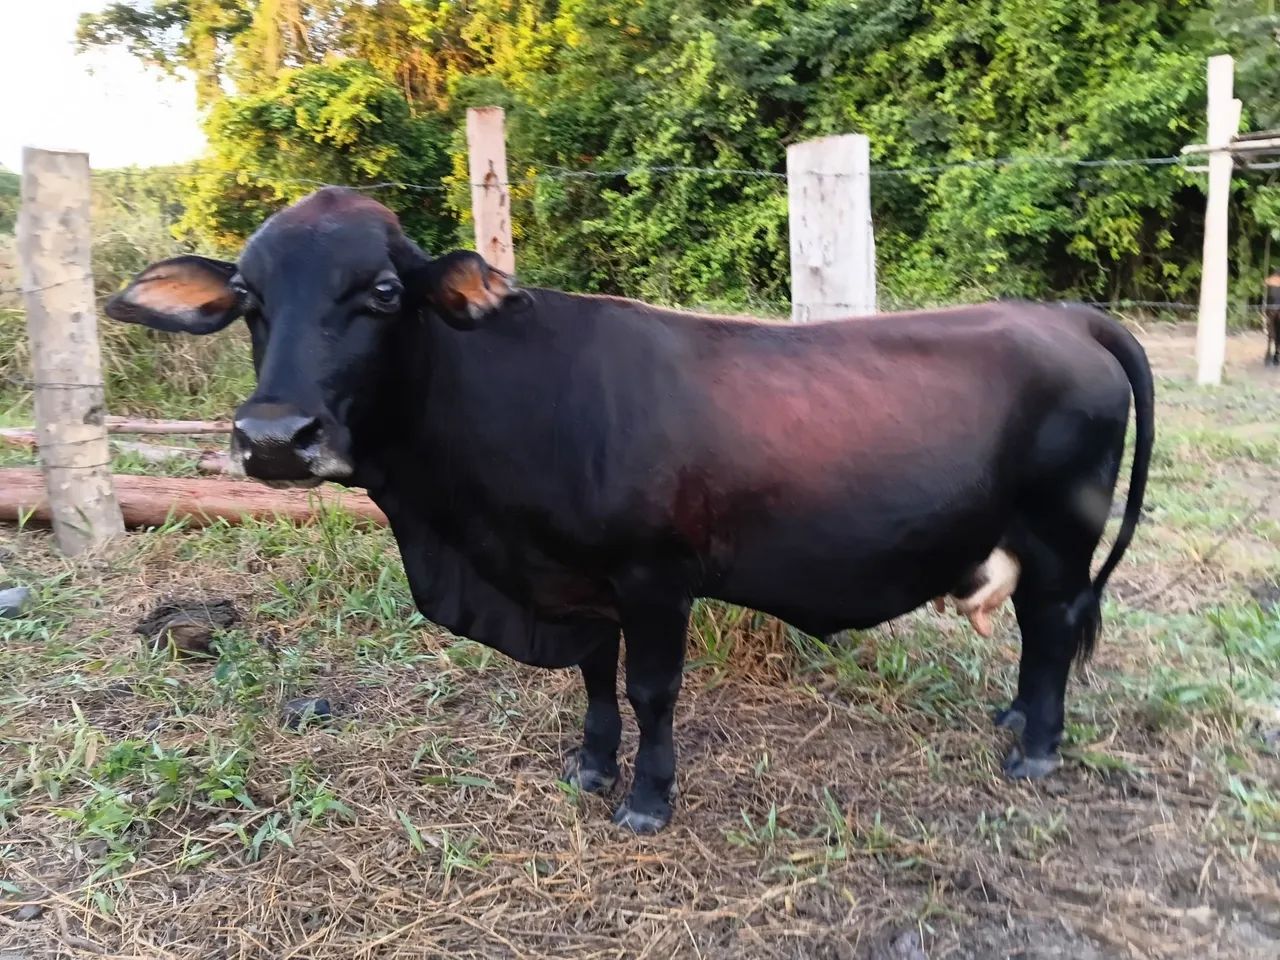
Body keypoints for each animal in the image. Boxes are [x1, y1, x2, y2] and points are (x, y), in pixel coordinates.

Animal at [105, 188, 1155, 834]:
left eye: (385, 291)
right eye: (247, 297)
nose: (274, 436)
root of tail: (1062, 314)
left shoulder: (656, 578)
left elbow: (651, 689)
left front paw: (647, 798)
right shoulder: (576, 586)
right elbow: (595, 681)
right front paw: (590, 765)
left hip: (1061, 533)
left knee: (1053, 626)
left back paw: (1038, 749)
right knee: (1039, 633)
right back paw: (1015, 717)